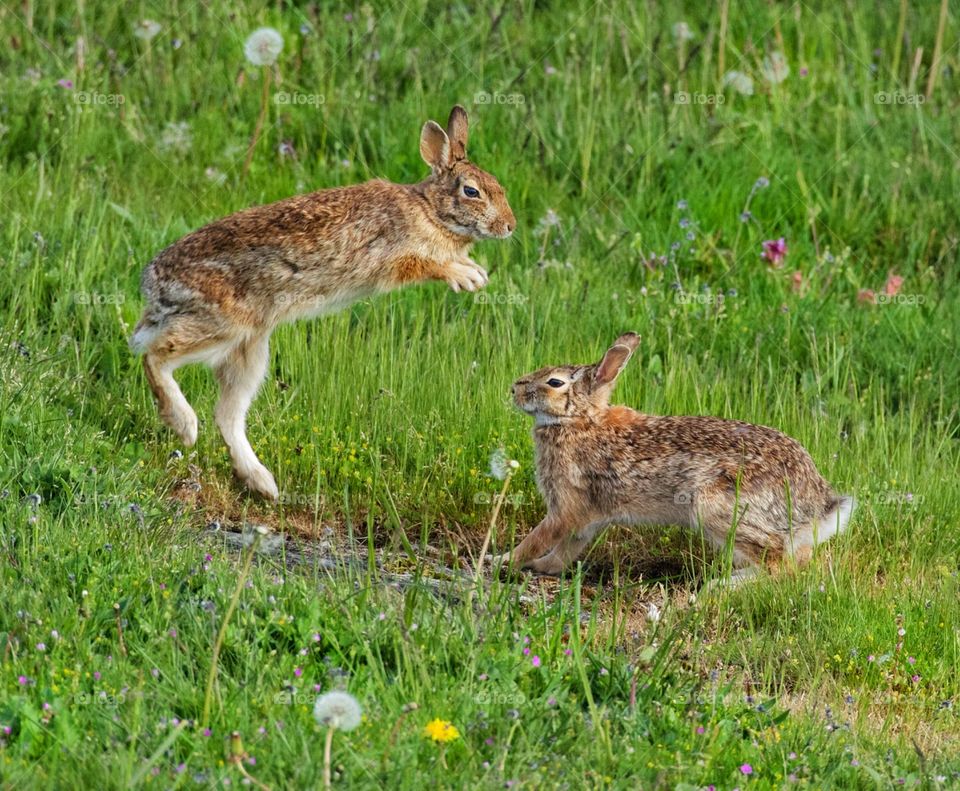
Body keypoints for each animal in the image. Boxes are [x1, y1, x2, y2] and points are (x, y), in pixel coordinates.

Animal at [133, 106, 516, 502]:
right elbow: (424, 264)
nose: (510, 226)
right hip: (221, 323)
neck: (430, 211)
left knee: (227, 414)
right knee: (154, 356)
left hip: (249, 347)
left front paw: (475, 271)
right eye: (471, 191)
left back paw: (262, 483)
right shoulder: (393, 256)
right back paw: (184, 425)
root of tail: (154, 285)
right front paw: (468, 277)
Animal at [502, 332, 856, 584]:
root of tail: (818, 505)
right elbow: (565, 550)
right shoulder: (589, 515)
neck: (580, 421)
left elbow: (541, 537)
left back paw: (719, 587)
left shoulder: (567, 505)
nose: (514, 388)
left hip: (716, 507)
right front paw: (539, 566)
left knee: (779, 565)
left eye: (554, 382)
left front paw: (505, 561)